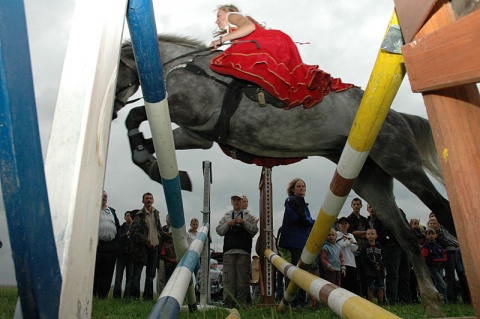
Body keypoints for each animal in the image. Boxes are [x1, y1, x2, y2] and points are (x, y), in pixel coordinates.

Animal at [115, 35, 450, 318]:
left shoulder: (190, 115)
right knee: (406, 236)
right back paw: (432, 303)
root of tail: (395, 115)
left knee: (441, 207)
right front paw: (157, 166)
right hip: (371, 180)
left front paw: (147, 158)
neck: (177, 66)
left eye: (116, 69)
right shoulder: (196, 134)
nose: (112, 109)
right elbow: (140, 128)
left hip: (399, 161)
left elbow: (136, 116)